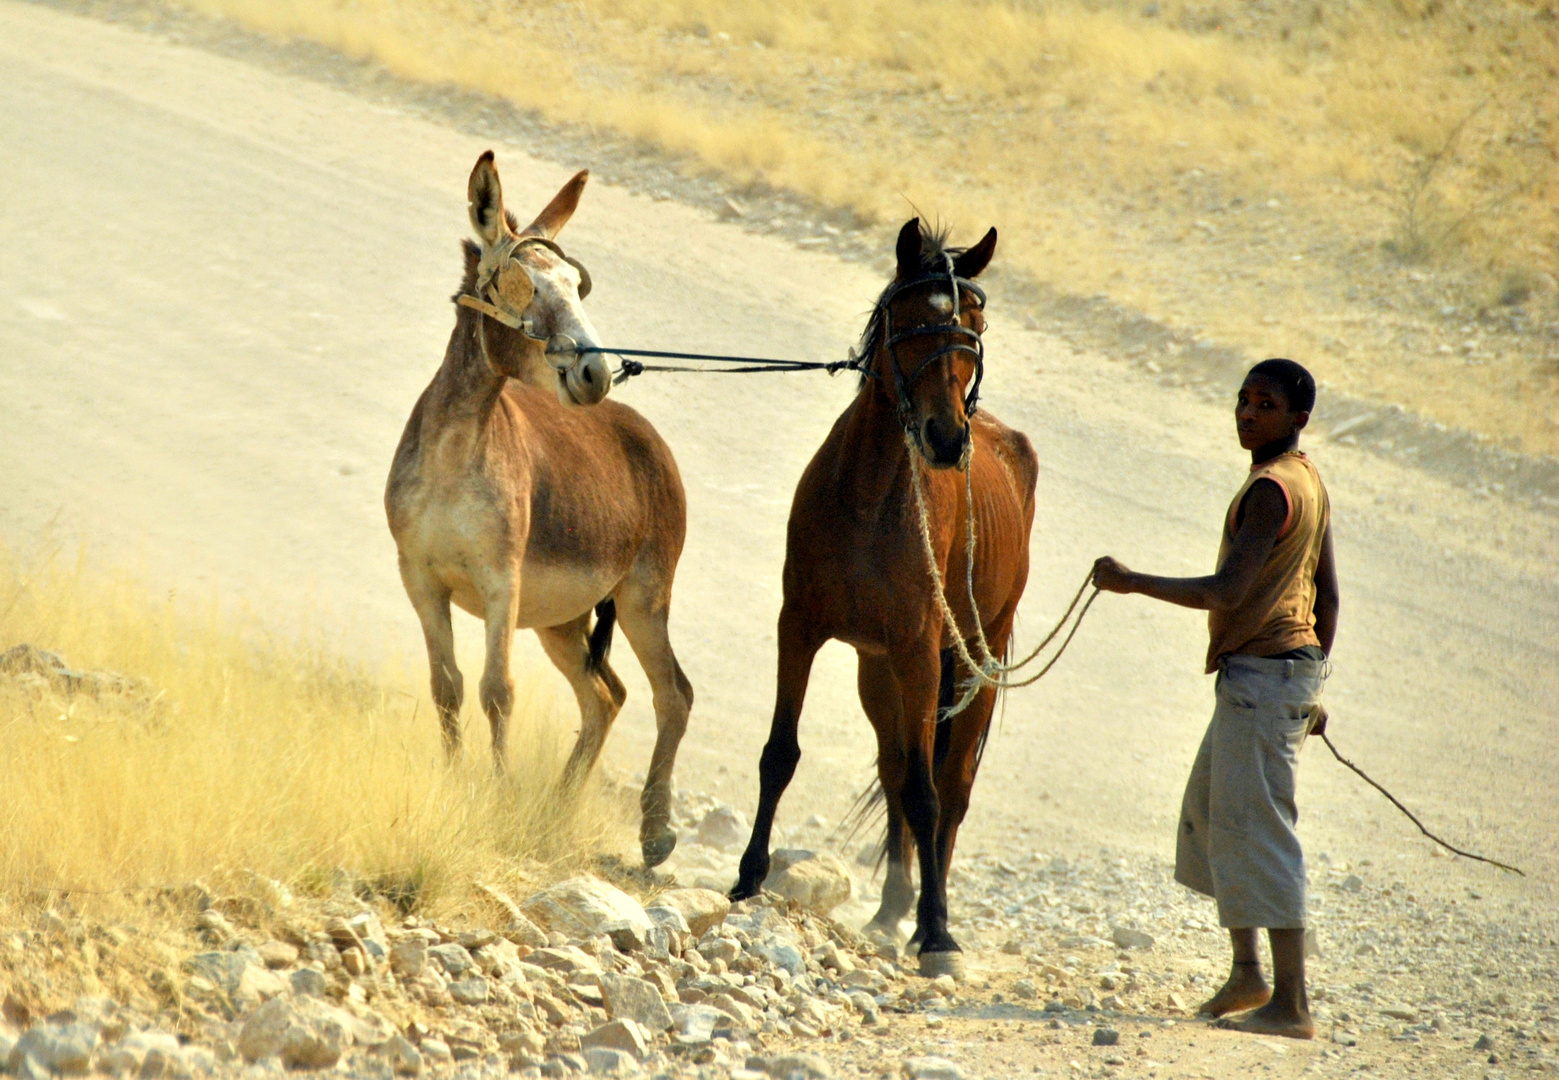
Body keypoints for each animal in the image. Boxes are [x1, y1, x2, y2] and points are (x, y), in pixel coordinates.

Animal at [383, 151, 689, 866]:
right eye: (524, 286)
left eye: (578, 286)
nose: (597, 376)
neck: (453, 458)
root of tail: (647, 437)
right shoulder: (420, 579)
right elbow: (447, 685)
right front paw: (454, 781)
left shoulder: (503, 583)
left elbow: (498, 692)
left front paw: (495, 796)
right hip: (564, 620)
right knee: (607, 697)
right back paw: (555, 806)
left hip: (643, 598)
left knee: (672, 694)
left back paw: (655, 832)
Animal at [729, 219, 1035, 978]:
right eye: (911, 321)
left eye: (974, 325)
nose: (946, 437)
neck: (870, 495)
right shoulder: (800, 627)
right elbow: (781, 753)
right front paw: (748, 876)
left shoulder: (921, 652)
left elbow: (928, 795)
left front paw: (939, 934)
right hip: (879, 673)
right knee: (896, 768)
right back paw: (893, 909)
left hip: (971, 664)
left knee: (948, 789)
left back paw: (928, 913)